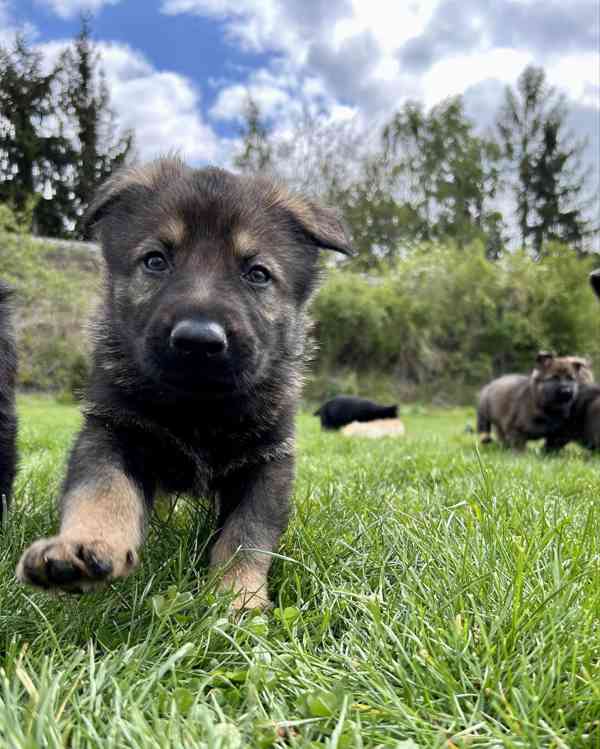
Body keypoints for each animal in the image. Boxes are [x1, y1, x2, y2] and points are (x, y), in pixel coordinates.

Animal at [16, 158, 354, 608]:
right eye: (155, 261)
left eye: (257, 274)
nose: (198, 341)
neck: (198, 407)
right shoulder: (112, 431)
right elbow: (103, 492)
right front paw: (83, 546)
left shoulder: (268, 463)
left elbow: (246, 535)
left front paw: (237, 597)